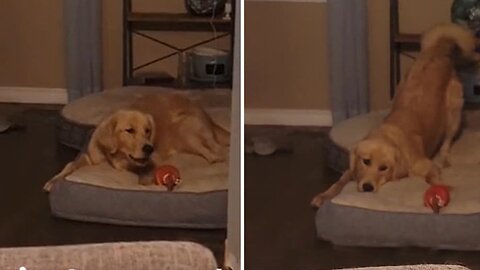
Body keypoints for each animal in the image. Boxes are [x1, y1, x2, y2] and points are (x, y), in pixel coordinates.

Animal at [44, 93, 230, 192]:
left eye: (147, 130)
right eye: (129, 130)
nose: (149, 148)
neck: (117, 156)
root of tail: (207, 116)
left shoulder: (153, 158)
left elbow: (146, 169)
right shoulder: (90, 156)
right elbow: (70, 165)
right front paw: (54, 180)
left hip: (185, 129)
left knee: (216, 153)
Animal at [310, 24, 478, 208]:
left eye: (384, 167)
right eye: (366, 161)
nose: (367, 187)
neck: (388, 136)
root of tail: (436, 50)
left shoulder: (426, 165)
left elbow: (433, 178)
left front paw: (444, 188)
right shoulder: (352, 169)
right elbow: (340, 181)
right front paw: (324, 195)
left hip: (454, 112)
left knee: (447, 141)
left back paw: (446, 159)